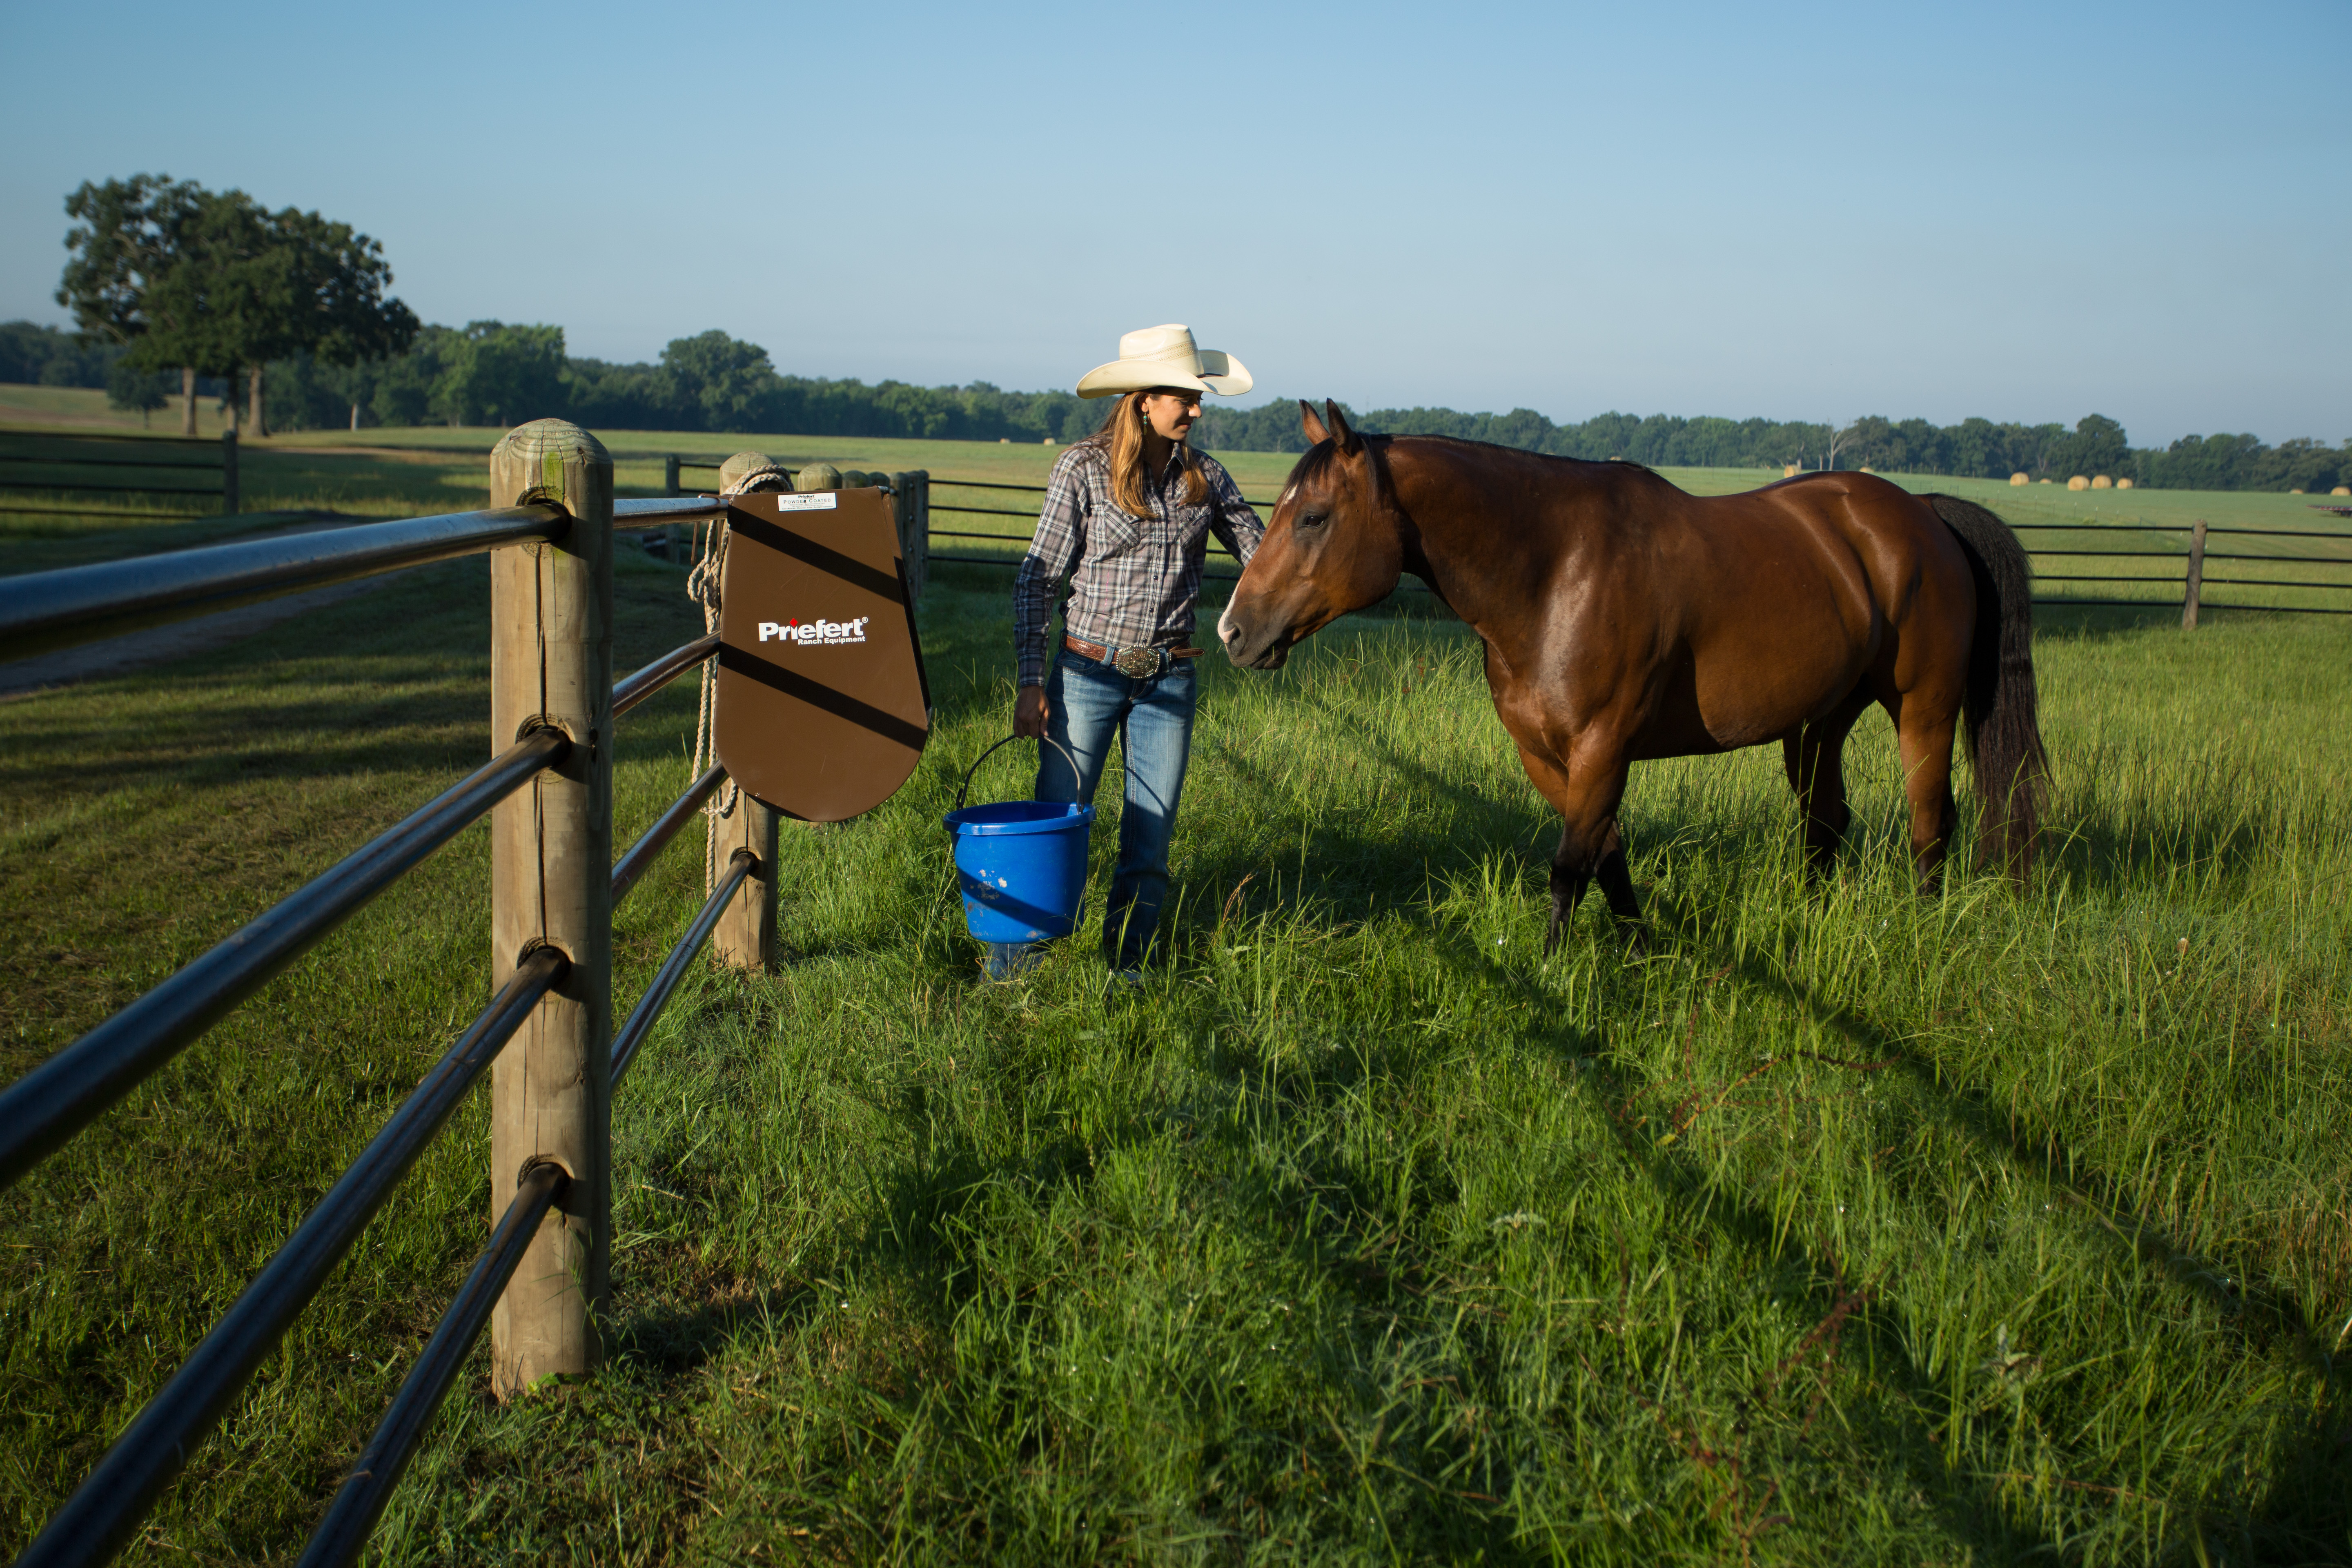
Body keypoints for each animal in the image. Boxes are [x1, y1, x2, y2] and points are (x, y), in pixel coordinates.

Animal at [1217, 401, 2047, 952]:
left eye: (1314, 517)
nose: (1234, 631)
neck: (1555, 572)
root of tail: (1925, 514)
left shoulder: (1603, 747)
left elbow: (1568, 867)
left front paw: (1553, 976)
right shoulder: (1547, 756)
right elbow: (1607, 859)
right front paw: (1641, 947)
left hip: (1923, 709)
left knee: (1931, 822)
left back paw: (1925, 925)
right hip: (1819, 721)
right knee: (1826, 819)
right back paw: (1812, 918)